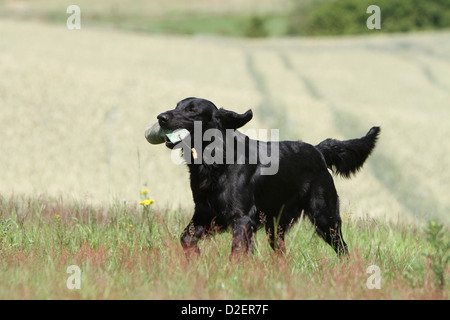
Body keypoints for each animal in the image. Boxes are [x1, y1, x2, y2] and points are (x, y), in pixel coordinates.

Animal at [155, 97, 380, 258]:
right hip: (276, 225)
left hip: (325, 217)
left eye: (192, 110)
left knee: (343, 248)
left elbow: (237, 252)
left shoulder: (243, 217)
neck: (215, 161)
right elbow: (186, 239)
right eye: (177, 105)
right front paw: (195, 257)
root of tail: (317, 150)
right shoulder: (204, 212)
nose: (161, 117)